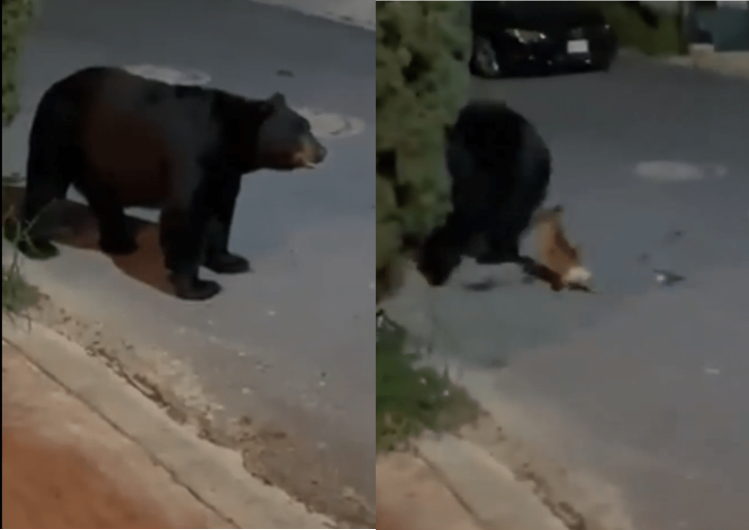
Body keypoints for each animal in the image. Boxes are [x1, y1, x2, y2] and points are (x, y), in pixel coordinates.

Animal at [14, 66, 327, 301]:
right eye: (301, 129)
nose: (323, 151)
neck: (229, 141)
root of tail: (55, 85)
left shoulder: (223, 172)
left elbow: (221, 211)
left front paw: (230, 260)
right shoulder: (193, 154)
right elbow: (186, 215)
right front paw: (200, 286)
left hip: (99, 155)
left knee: (104, 197)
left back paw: (120, 243)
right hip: (61, 132)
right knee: (45, 185)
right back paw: (37, 246)